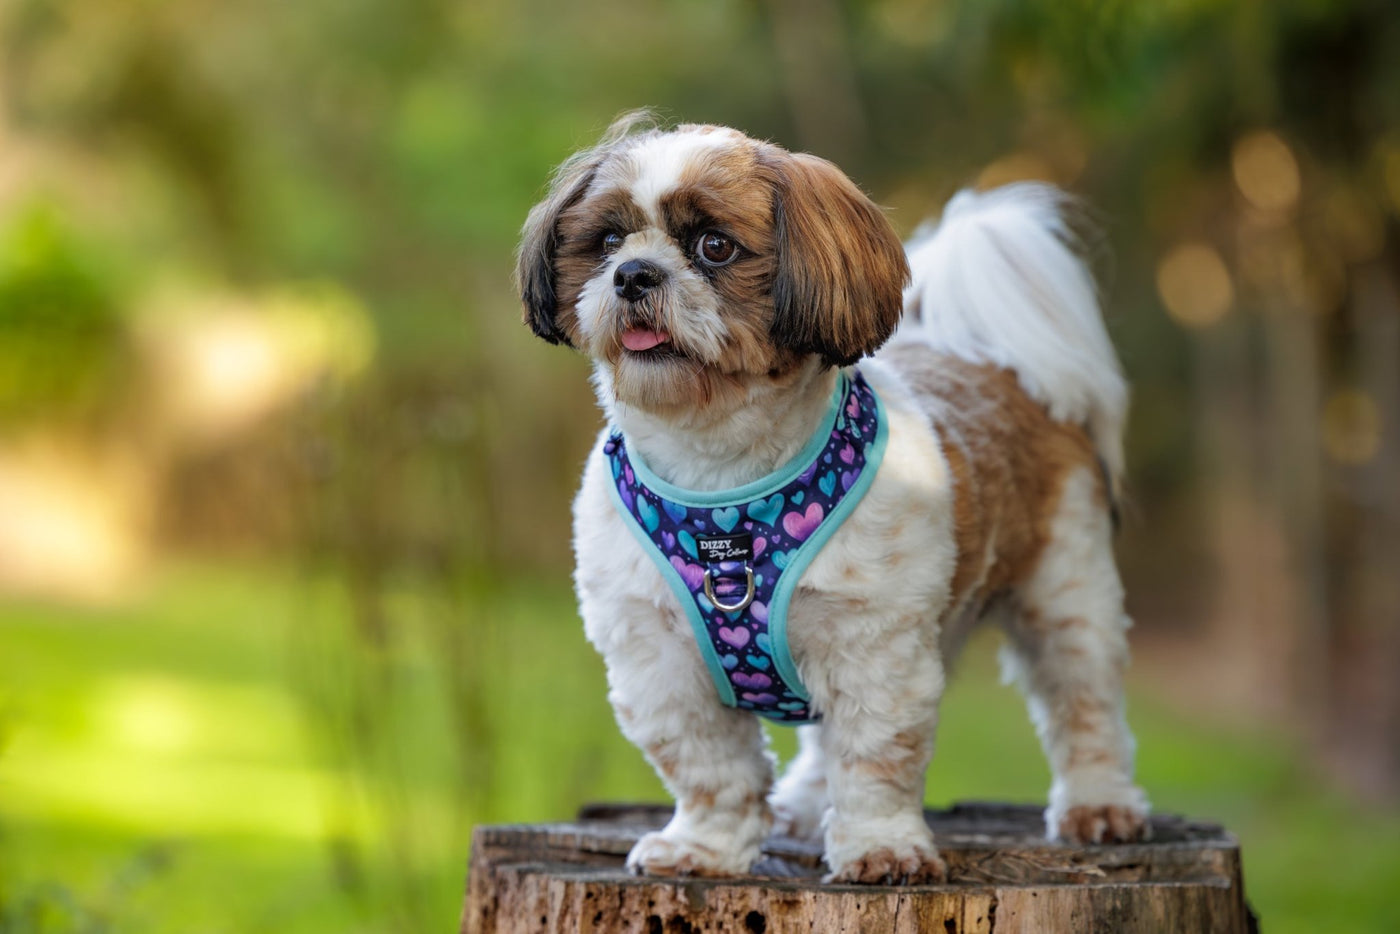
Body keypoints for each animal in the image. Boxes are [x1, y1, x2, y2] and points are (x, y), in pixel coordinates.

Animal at [515, 114, 1148, 884]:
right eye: (606, 242)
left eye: (715, 246)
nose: (635, 273)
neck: (721, 483)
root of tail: (1000, 362)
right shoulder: (657, 659)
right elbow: (709, 765)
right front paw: (706, 847)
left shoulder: (875, 647)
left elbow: (874, 756)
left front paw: (881, 847)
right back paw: (801, 805)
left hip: (1065, 592)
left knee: (1084, 702)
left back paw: (1100, 804)